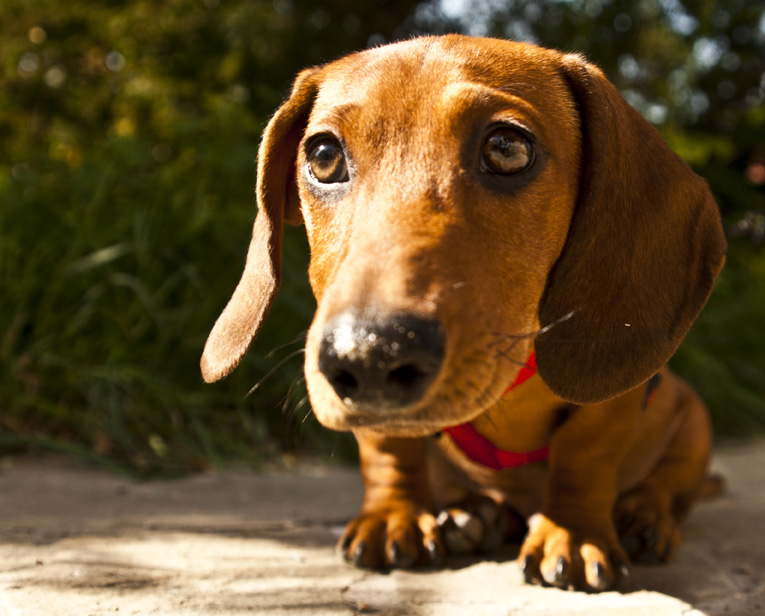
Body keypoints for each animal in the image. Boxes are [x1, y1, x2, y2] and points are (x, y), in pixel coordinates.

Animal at [200, 35, 724, 592]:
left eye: (507, 148)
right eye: (322, 156)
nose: (368, 356)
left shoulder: (614, 404)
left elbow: (585, 454)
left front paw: (572, 532)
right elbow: (387, 448)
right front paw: (393, 515)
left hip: (694, 421)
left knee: (669, 488)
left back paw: (645, 516)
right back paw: (472, 514)